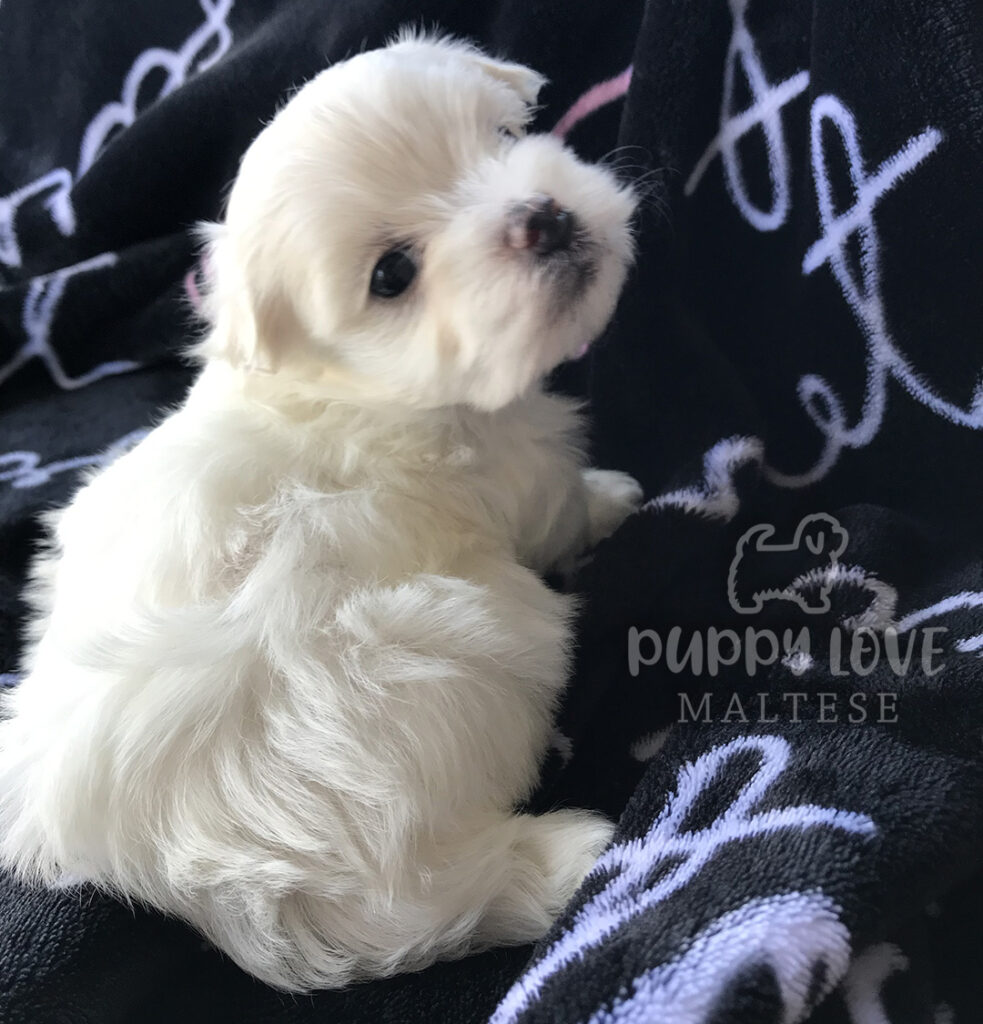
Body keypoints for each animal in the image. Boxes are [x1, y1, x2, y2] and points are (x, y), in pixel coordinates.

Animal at [0, 34, 643, 991]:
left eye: (498, 137)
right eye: (392, 276)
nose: (541, 218)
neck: (345, 386)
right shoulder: (523, 478)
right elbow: (565, 506)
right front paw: (615, 497)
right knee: (427, 898)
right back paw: (561, 856)